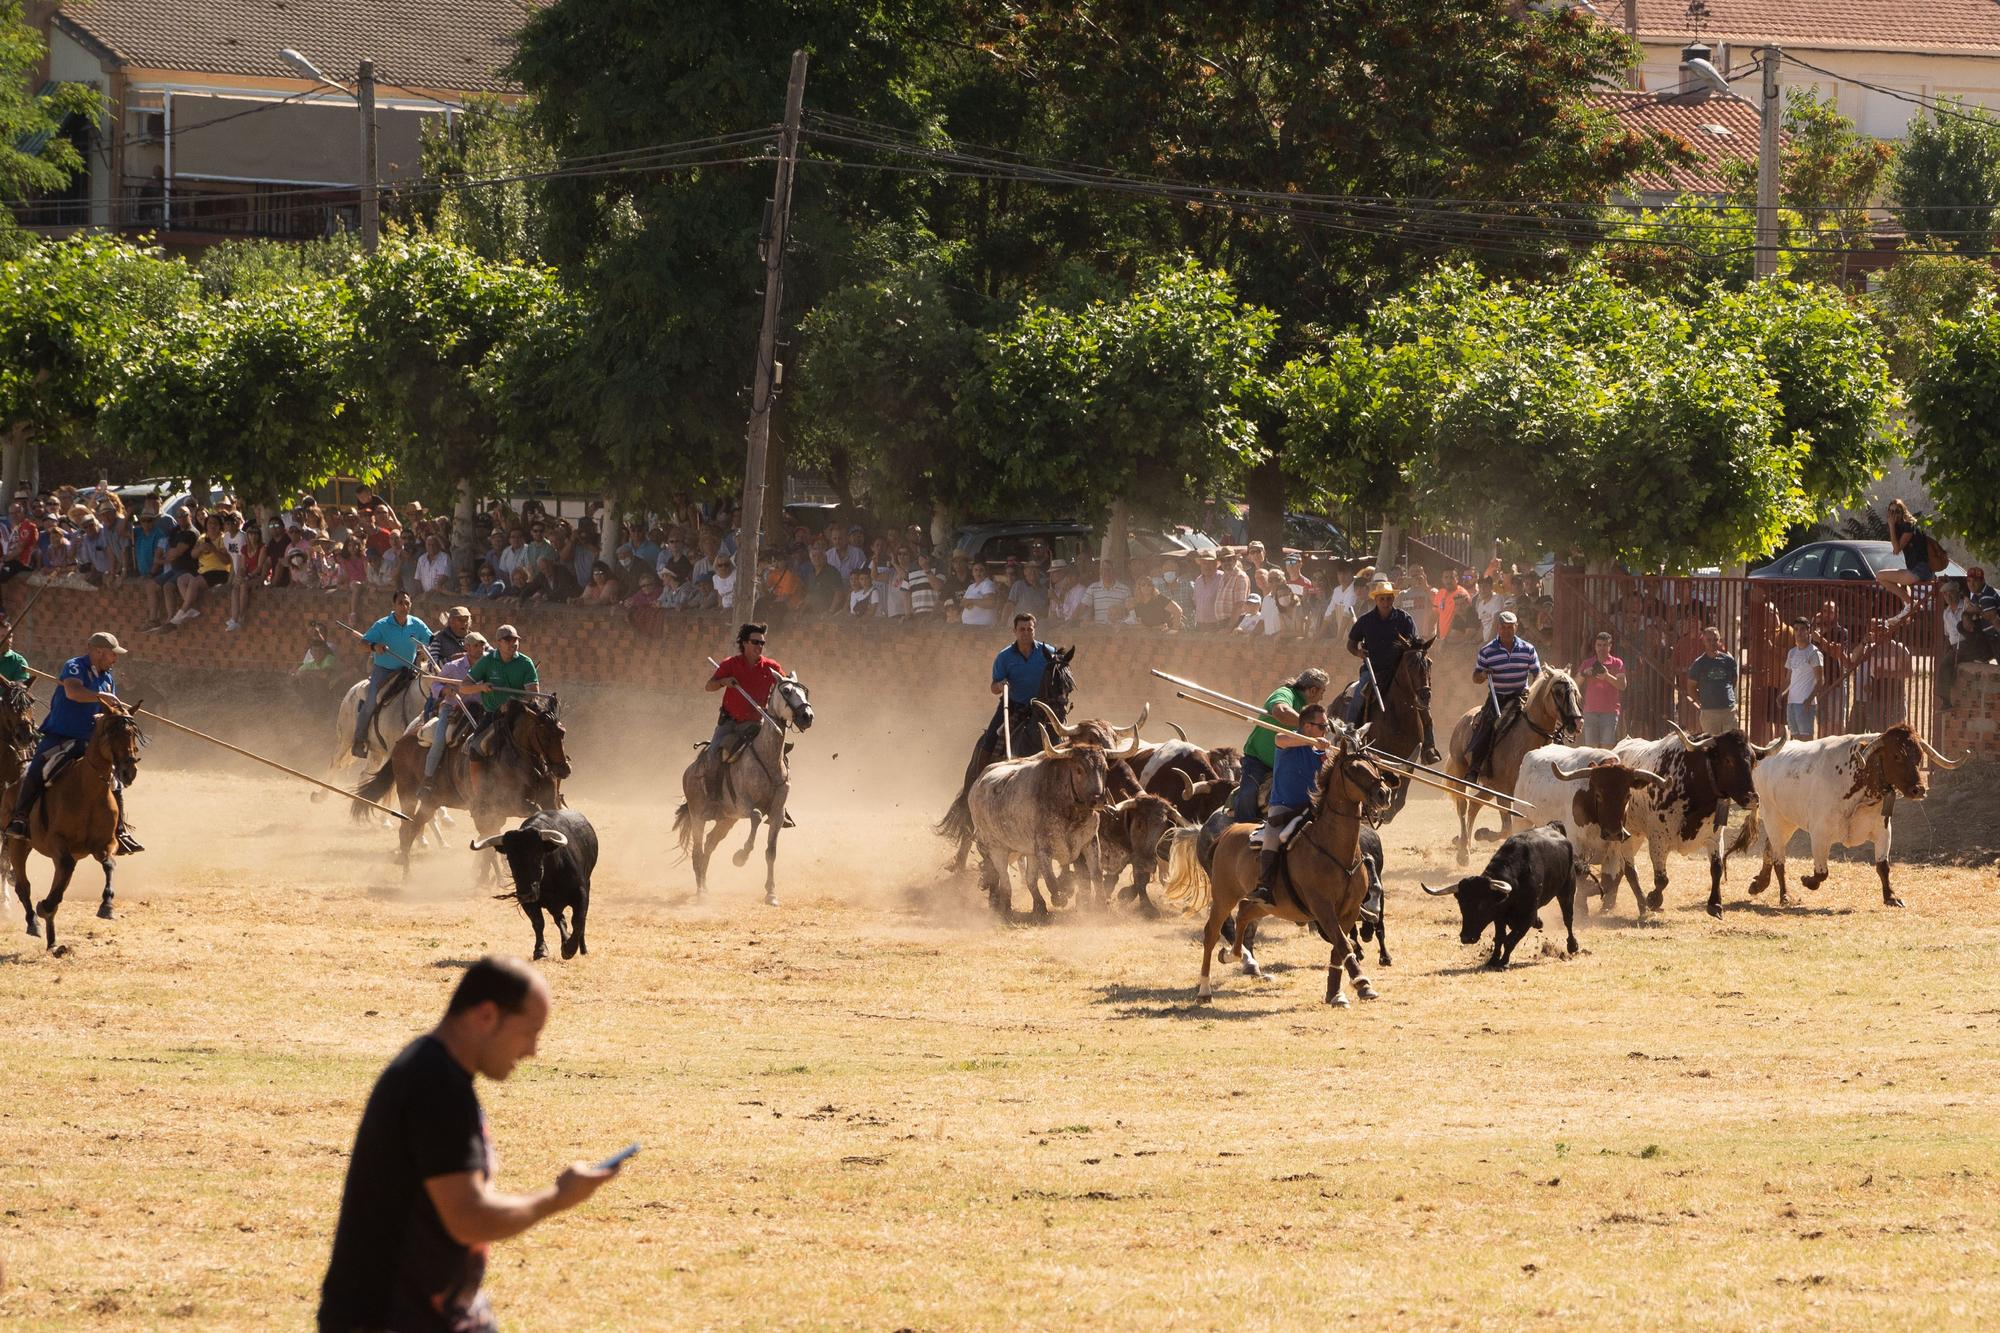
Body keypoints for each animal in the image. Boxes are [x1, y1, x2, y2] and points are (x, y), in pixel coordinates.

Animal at [8, 700, 143, 948]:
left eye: (132, 733)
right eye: (112, 732)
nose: (129, 771)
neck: (88, 791)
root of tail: (12, 786)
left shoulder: (106, 843)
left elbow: (109, 864)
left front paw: (107, 906)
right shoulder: (57, 843)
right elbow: (64, 869)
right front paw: (45, 906)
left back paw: (53, 940)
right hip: (18, 845)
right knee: (24, 885)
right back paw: (35, 923)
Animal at [352, 696, 568, 872]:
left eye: (562, 732)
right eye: (545, 735)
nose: (563, 769)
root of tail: (402, 741)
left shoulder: (546, 801)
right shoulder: (507, 805)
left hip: (431, 803)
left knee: (414, 826)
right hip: (408, 794)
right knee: (405, 830)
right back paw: (407, 873)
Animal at [940, 640, 1080, 868]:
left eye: (1070, 683)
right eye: (1051, 681)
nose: (1059, 714)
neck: (1036, 736)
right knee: (968, 828)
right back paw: (960, 867)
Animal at [1168, 732, 1408, 1000]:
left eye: (1374, 767)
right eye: (1352, 769)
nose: (1384, 794)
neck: (1334, 849)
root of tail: (1224, 833)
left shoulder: (1348, 910)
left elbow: (1339, 947)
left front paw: (1336, 993)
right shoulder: (1323, 908)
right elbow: (1343, 943)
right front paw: (1362, 982)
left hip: (1267, 903)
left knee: (1245, 915)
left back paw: (1238, 958)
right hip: (1224, 894)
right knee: (1213, 931)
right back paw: (1206, 987)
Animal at [1336, 632, 1432, 816]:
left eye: (1429, 663)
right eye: (1410, 664)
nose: (1425, 695)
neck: (1399, 718)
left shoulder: (1409, 759)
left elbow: (1400, 795)